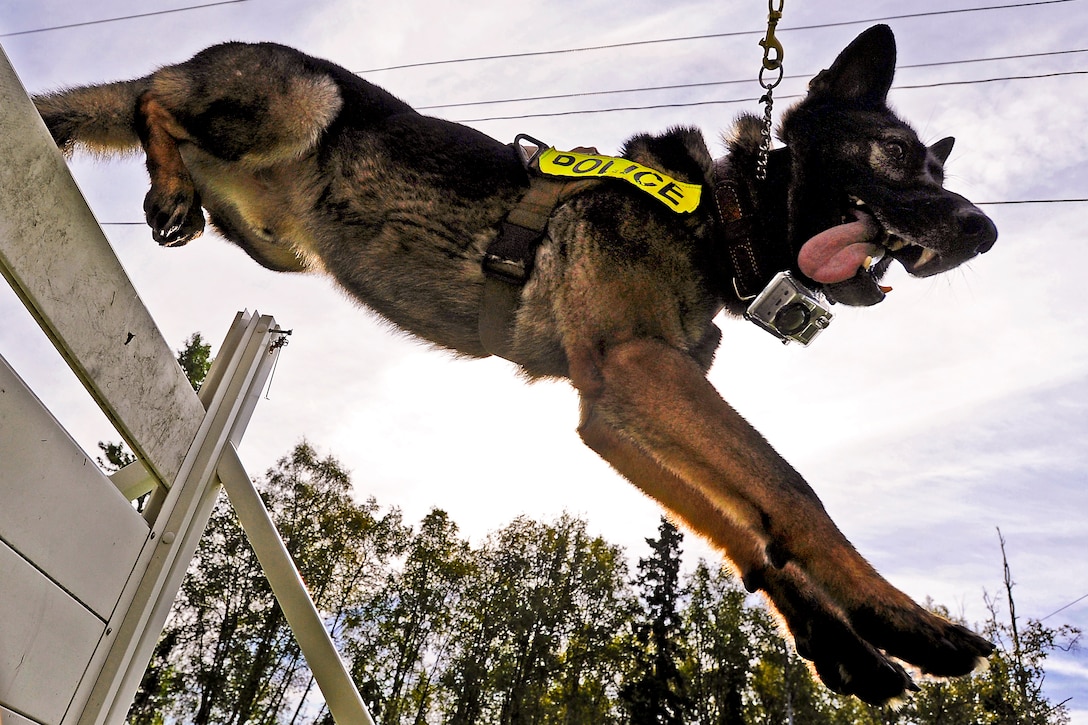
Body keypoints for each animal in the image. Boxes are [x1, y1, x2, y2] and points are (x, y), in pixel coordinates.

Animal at [38, 26, 996, 701]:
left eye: (937, 164)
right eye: (896, 156)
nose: (983, 232)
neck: (718, 211)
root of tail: (200, 57)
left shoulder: (613, 410)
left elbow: (740, 524)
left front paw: (838, 644)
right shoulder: (641, 370)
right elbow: (791, 489)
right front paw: (901, 619)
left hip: (277, 243)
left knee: (149, 115)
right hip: (305, 93)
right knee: (153, 105)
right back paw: (168, 182)